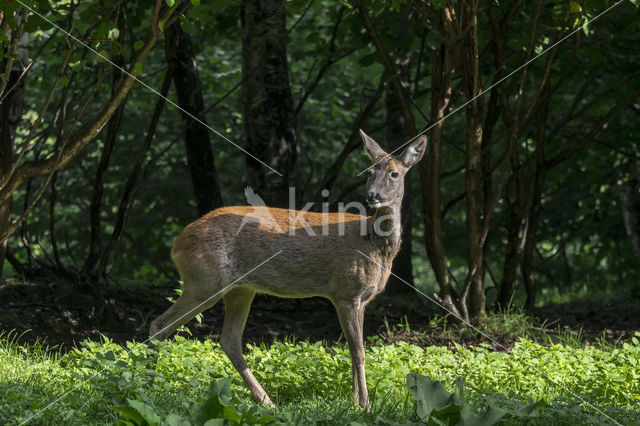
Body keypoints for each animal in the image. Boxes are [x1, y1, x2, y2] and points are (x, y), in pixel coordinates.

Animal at [150, 131, 428, 410]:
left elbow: (355, 350)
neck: (371, 243)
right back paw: (148, 385)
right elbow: (358, 351)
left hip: (240, 289)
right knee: (160, 325)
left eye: (394, 173)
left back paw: (267, 401)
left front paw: (355, 401)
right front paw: (365, 405)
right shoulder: (345, 291)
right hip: (204, 281)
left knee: (229, 339)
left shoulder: (362, 299)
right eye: (370, 171)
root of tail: (178, 242)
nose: (373, 195)